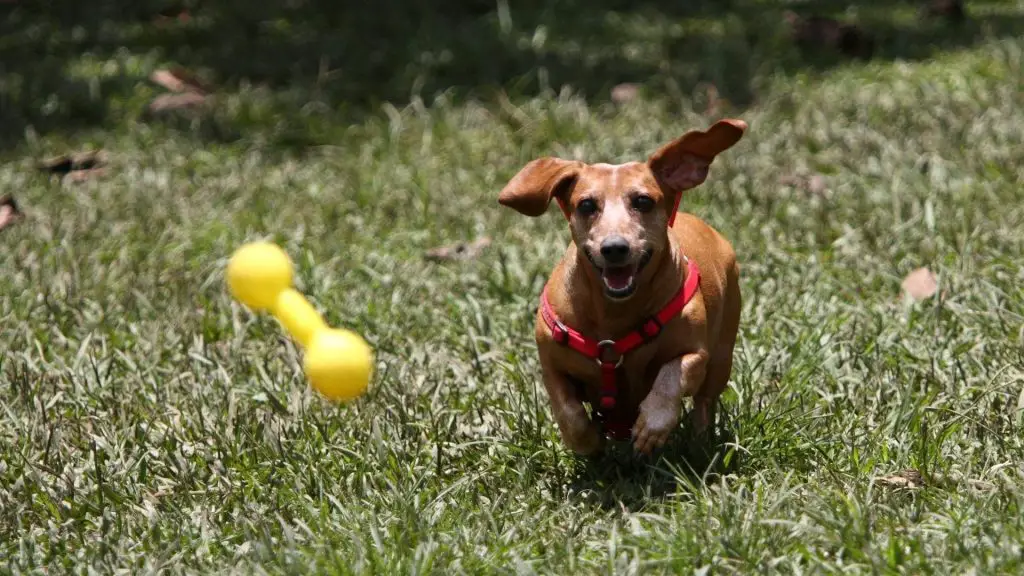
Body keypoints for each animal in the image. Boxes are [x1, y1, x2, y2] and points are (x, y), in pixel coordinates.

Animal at [497, 118, 745, 455]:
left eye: (643, 201)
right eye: (586, 205)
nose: (614, 248)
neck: (614, 314)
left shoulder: (696, 355)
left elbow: (671, 375)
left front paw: (652, 425)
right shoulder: (551, 366)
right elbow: (569, 413)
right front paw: (588, 441)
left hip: (721, 357)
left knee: (705, 402)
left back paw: (699, 443)